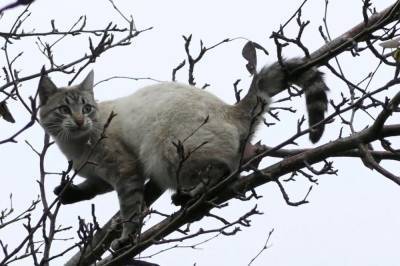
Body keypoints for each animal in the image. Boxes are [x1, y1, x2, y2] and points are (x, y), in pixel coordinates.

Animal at [38, 57, 328, 249]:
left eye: (86, 108)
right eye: (64, 110)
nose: (79, 121)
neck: (75, 145)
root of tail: (232, 110)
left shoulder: (126, 170)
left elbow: (130, 211)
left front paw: (126, 238)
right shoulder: (101, 176)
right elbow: (90, 189)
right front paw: (66, 193)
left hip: (166, 148)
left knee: (221, 171)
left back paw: (189, 196)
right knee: (231, 174)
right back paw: (187, 197)